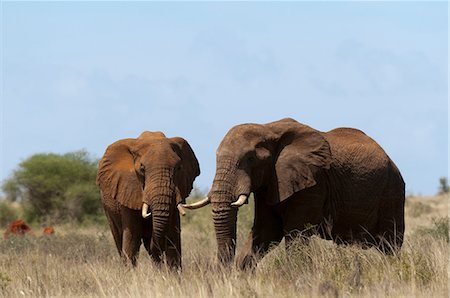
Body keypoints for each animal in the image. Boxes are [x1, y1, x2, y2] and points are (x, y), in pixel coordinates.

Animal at [96, 131, 199, 268]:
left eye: (178, 168)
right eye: (142, 168)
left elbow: (173, 236)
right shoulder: (128, 189)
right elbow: (132, 238)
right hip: (108, 210)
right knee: (120, 238)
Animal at [183, 117, 404, 268]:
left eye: (251, 159)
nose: (223, 272)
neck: (268, 128)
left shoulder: (314, 182)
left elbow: (295, 234)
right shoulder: (270, 182)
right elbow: (266, 230)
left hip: (392, 191)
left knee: (390, 244)